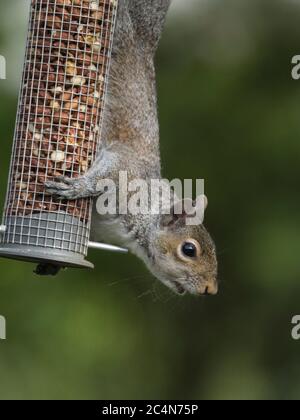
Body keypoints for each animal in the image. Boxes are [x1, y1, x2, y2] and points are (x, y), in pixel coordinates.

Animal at [45, 0, 218, 296]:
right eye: (189, 250)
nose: (210, 289)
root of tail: (142, 40)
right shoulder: (123, 169)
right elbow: (104, 173)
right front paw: (77, 187)